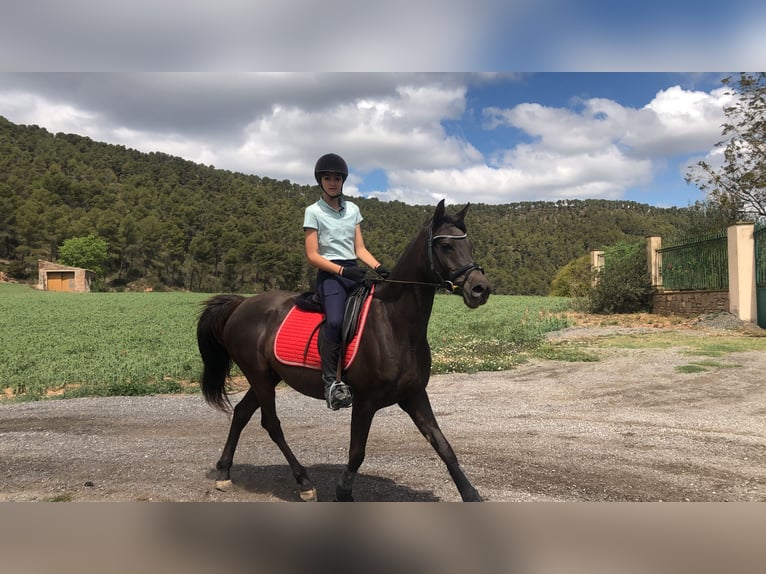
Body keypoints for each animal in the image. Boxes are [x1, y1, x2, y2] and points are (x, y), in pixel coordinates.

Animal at [196, 199, 492, 504]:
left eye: (469, 244)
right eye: (445, 245)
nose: (480, 288)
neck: (394, 323)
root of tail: (241, 304)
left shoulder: (414, 395)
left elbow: (443, 445)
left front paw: (470, 494)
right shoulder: (365, 401)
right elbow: (357, 452)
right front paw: (343, 491)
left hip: (266, 377)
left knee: (242, 413)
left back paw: (224, 472)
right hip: (259, 376)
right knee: (271, 423)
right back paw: (303, 482)